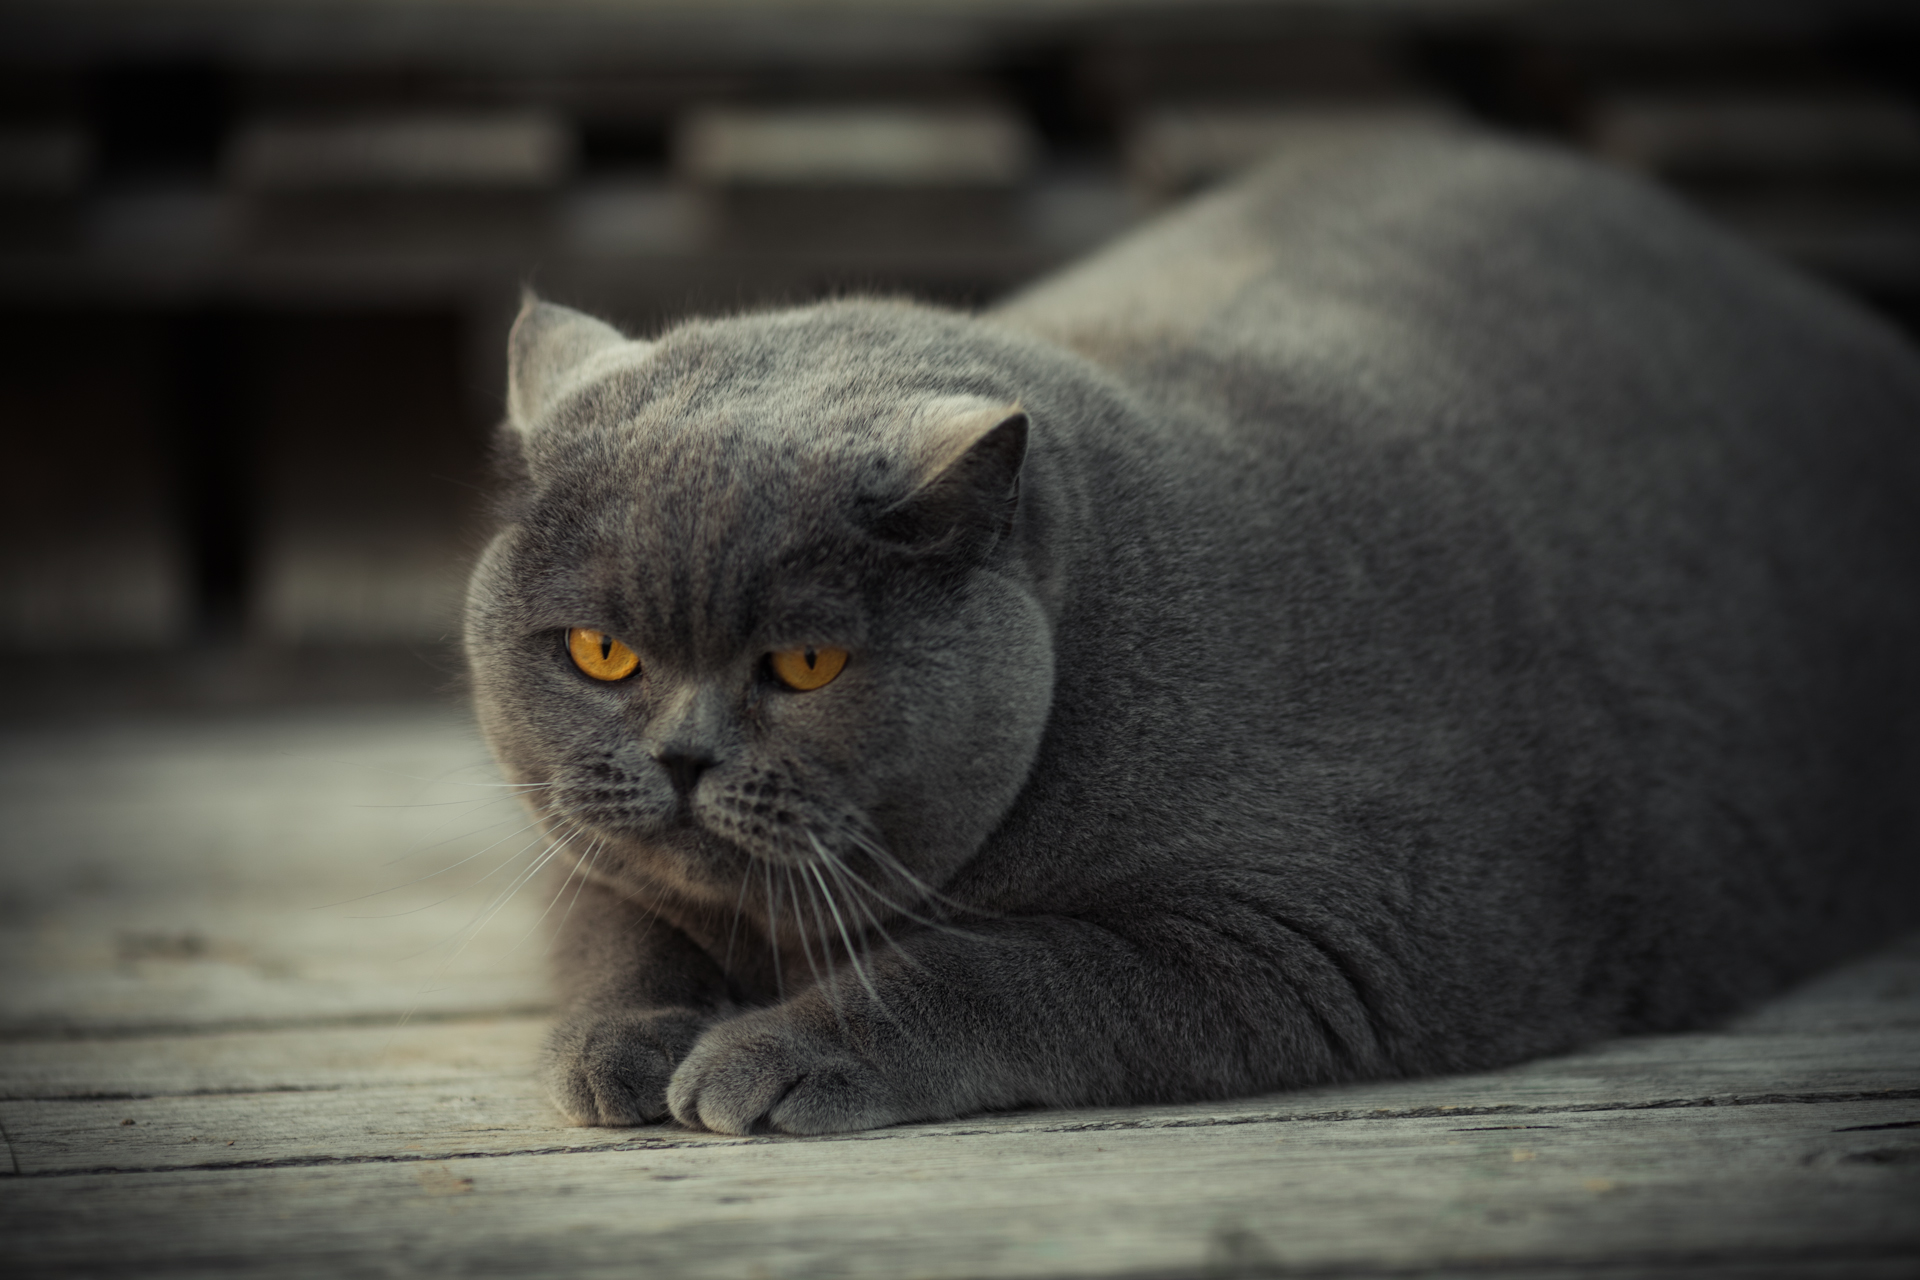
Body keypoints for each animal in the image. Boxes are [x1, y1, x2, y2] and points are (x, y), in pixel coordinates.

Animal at [464, 124, 1920, 1136]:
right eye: (602, 654)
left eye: (805, 665)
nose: (681, 757)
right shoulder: (582, 846)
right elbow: (617, 921)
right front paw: (625, 1042)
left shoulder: (1308, 936)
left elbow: (991, 967)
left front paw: (775, 1052)